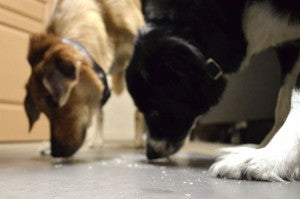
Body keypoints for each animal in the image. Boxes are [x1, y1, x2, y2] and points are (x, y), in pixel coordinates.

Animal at [125, 0, 300, 181]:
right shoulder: (289, 48)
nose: (150, 153)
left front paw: (267, 158)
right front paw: (262, 148)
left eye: (154, 113)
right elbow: (283, 105)